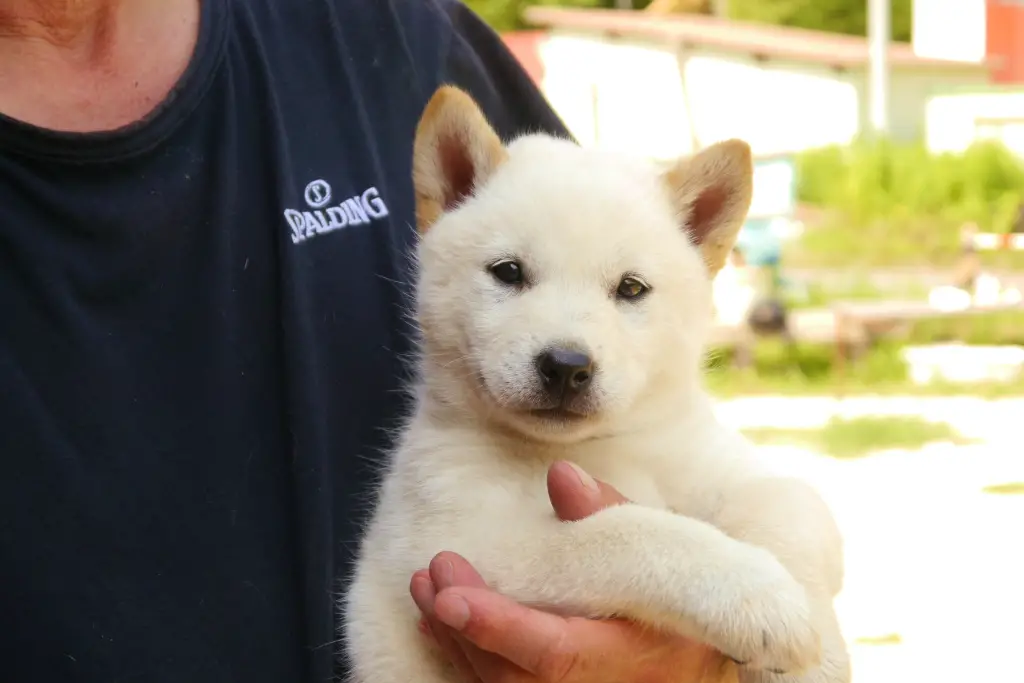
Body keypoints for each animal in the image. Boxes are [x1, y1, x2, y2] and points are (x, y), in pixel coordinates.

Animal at [342, 85, 847, 683]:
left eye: (630, 288)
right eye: (508, 272)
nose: (565, 365)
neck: (596, 449)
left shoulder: (726, 469)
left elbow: (789, 504)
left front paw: (816, 647)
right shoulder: (460, 542)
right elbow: (624, 532)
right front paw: (756, 598)